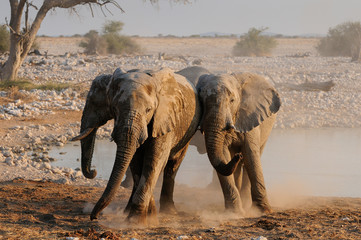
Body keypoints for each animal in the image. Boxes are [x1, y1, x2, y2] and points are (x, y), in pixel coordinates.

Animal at [72, 67, 200, 223]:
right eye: (114, 108)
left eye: (148, 110)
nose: (94, 217)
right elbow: (136, 161)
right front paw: (148, 215)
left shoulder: (163, 118)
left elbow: (154, 161)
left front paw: (136, 221)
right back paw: (128, 210)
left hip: (186, 131)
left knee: (173, 164)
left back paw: (169, 211)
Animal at [194, 72, 282, 215]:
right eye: (202, 101)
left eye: (232, 101)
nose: (237, 156)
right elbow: (224, 154)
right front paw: (234, 213)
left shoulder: (249, 116)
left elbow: (251, 155)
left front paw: (264, 211)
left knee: (252, 157)